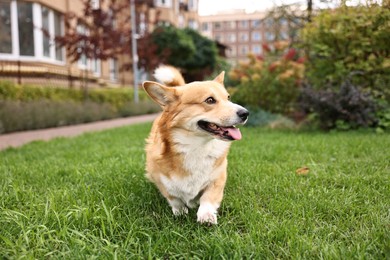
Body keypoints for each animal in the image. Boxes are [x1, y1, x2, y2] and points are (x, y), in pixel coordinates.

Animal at [142, 66, 248, 224]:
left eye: (228, 98)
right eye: (210, 100)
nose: (246, 113)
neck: (197, 146)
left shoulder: (218, 177)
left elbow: (208, 197)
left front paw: (206, 216)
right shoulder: (161, 179)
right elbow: (174, 198)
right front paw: (180, 212)